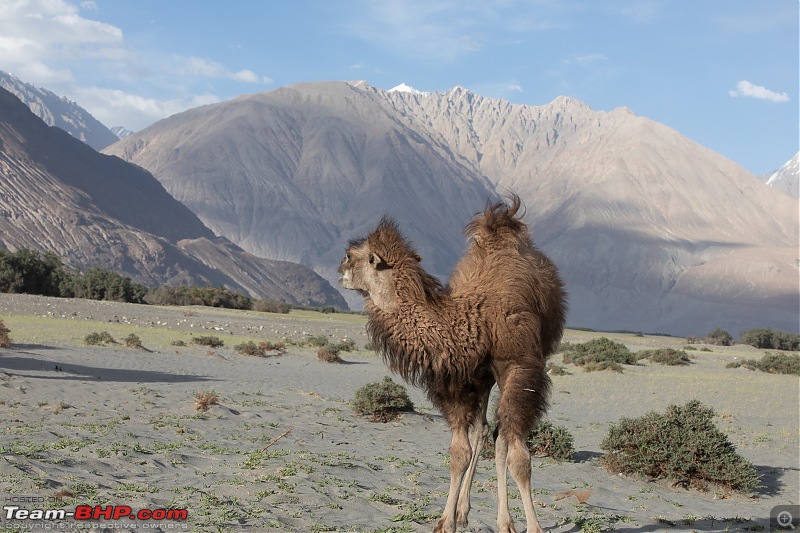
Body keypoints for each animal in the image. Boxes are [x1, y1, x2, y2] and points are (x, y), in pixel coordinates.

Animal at [338, 195, 568, 532]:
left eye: (351, 255)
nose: (339, 268)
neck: (474, 320)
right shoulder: (459, 379)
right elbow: (460, 452)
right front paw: (446, 521)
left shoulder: (520, 366)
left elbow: (519, 458)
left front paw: (534, 527)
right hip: (484, 378)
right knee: (484, 431)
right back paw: (465, 511)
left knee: (501, 438)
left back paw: (504, 521)